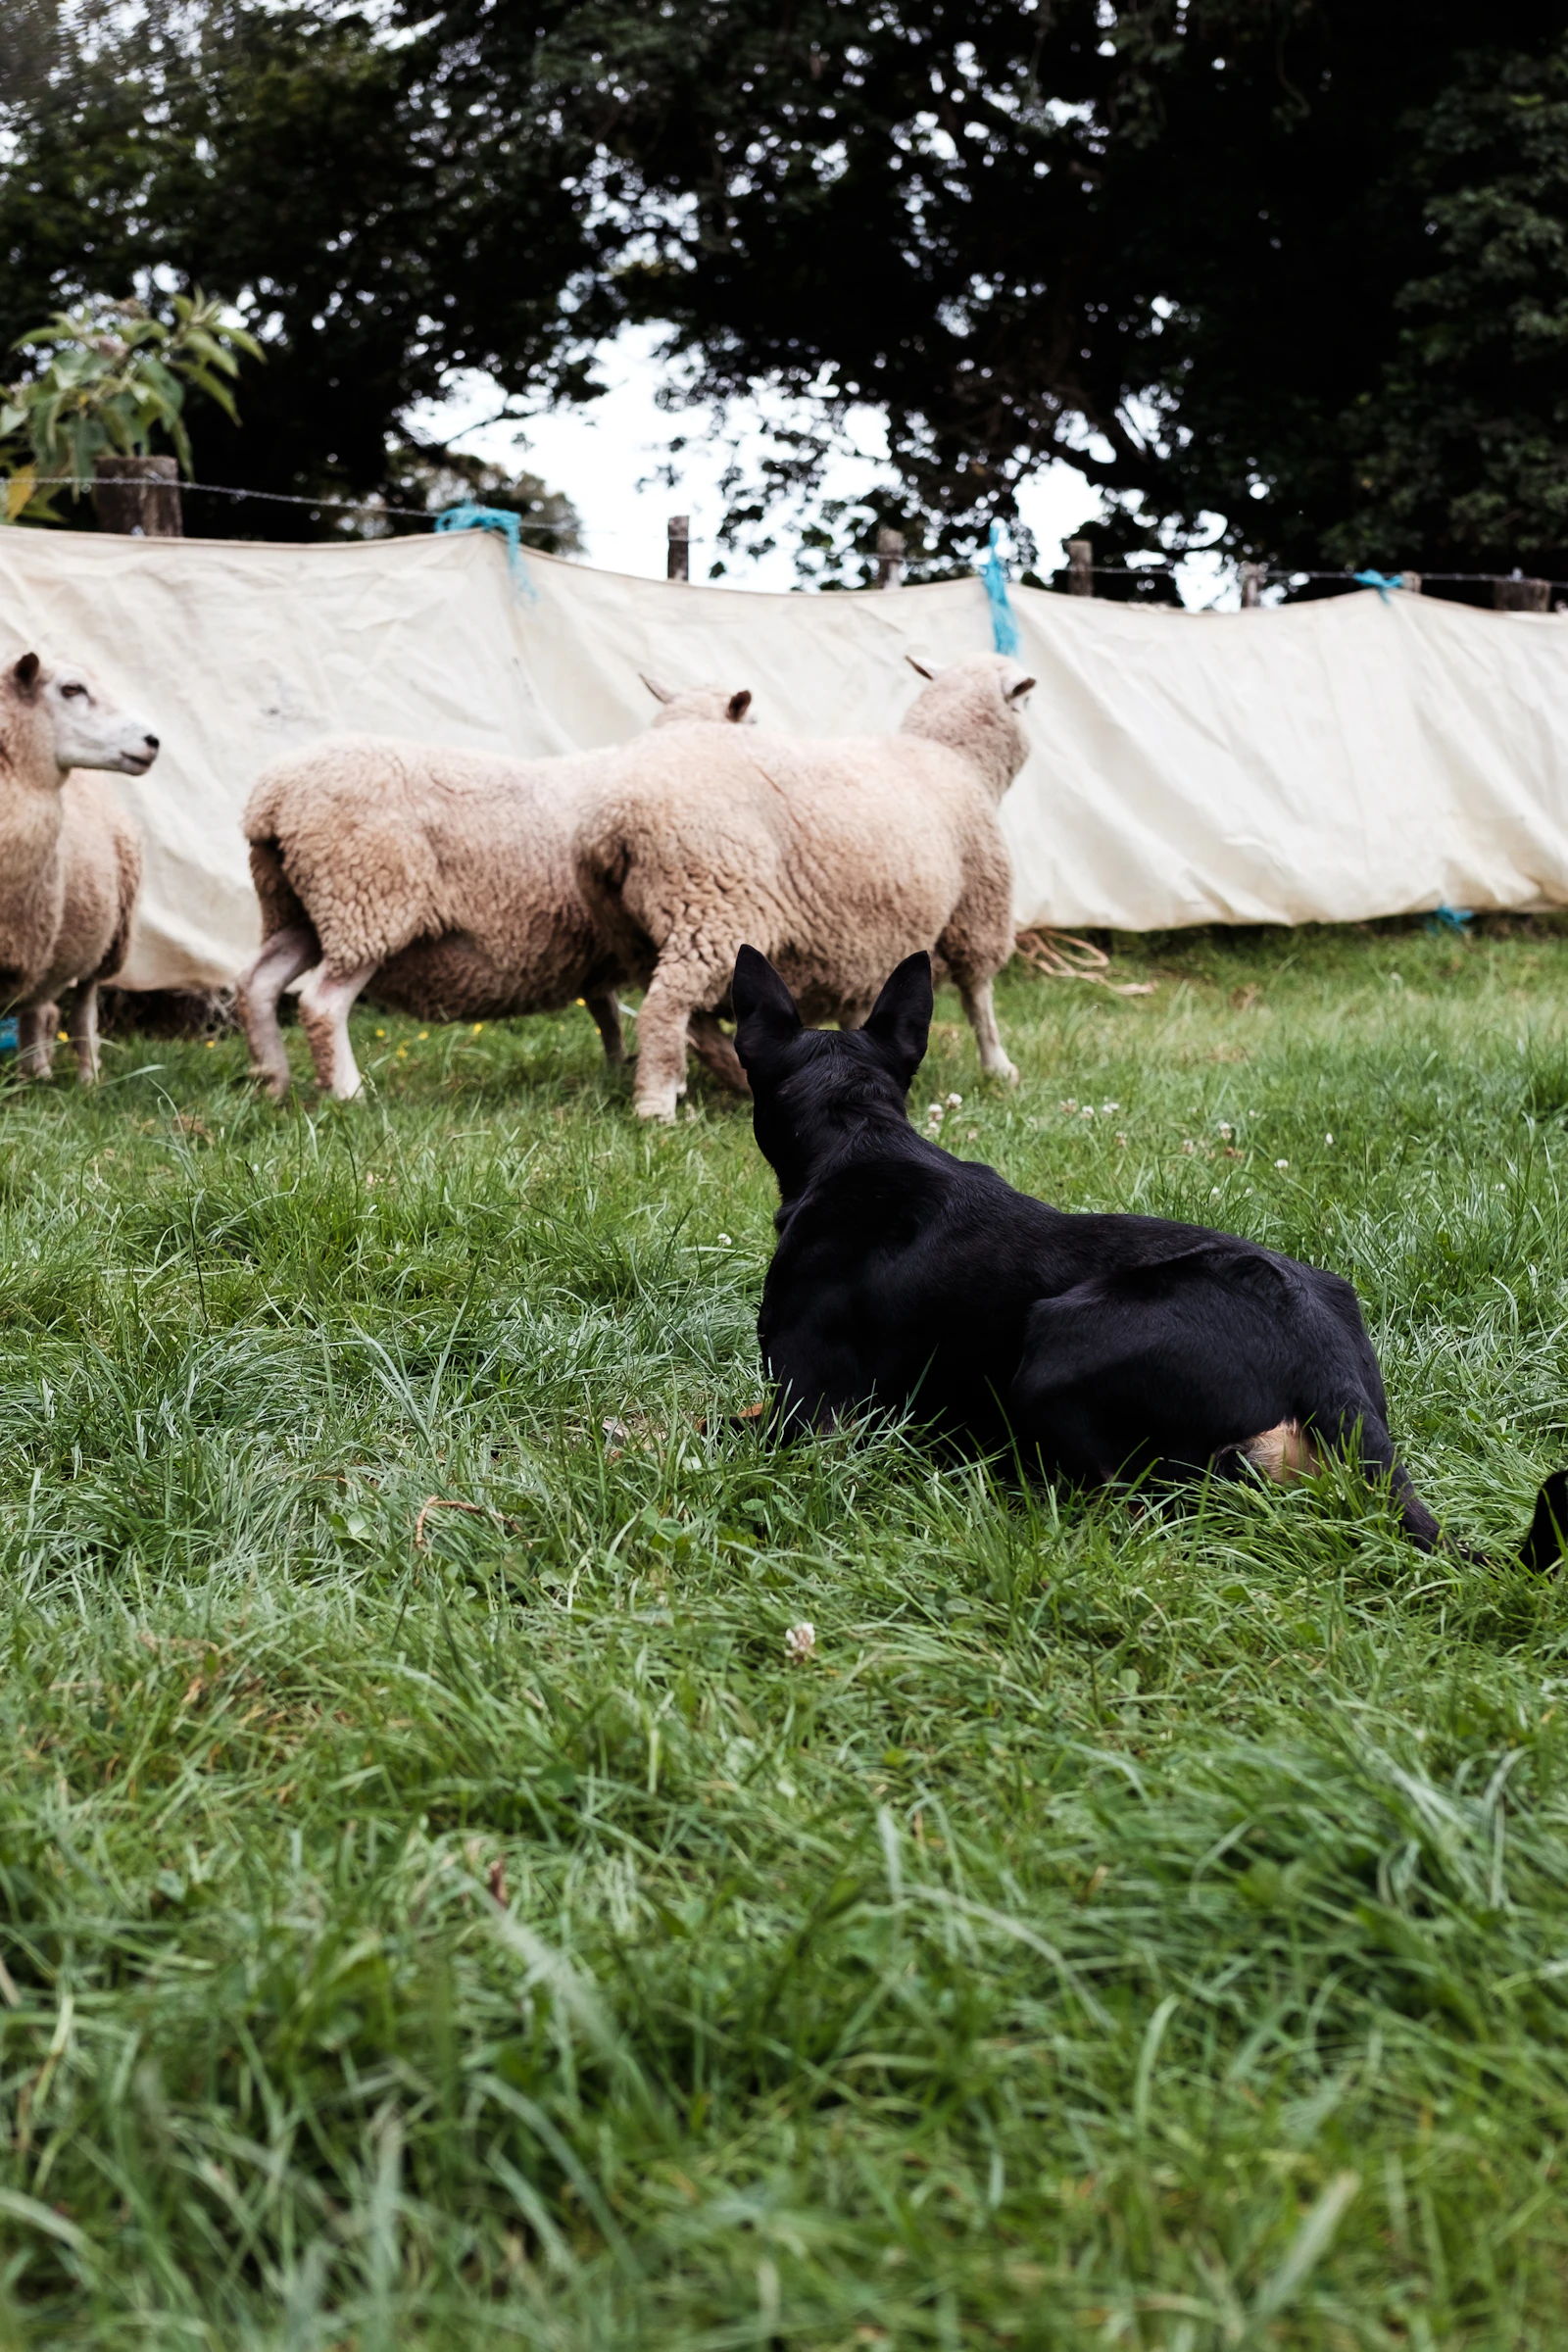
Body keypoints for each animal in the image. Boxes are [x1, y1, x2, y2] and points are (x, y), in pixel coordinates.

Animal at [0, 649, 160, 1083]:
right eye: (71, 688)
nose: (153, 741)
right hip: (51, 944)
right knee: (38, 1008)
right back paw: (35, 1072)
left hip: (109, 939)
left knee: (83, 1011)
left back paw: (87, 1079)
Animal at [236, 680, 756, 1100]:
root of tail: (270, 799)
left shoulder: (592, 948)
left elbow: (605, 1012)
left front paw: (615, 1068)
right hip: (368, 898)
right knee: (321, 1004)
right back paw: (347, 1093)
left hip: (301, 907)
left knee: (257, 982)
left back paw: (273, 1083)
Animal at [573, 651, 1035, 1122]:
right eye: (1027, 702)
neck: (956, 757)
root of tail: (615, 818)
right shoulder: (978, 905)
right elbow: (979, 998)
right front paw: (1000, 1068)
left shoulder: (865, 939)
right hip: (709, 903)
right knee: (665, 1008)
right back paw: (656, 1104)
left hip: (632, 929)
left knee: (693, 1018)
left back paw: (738, 1076)